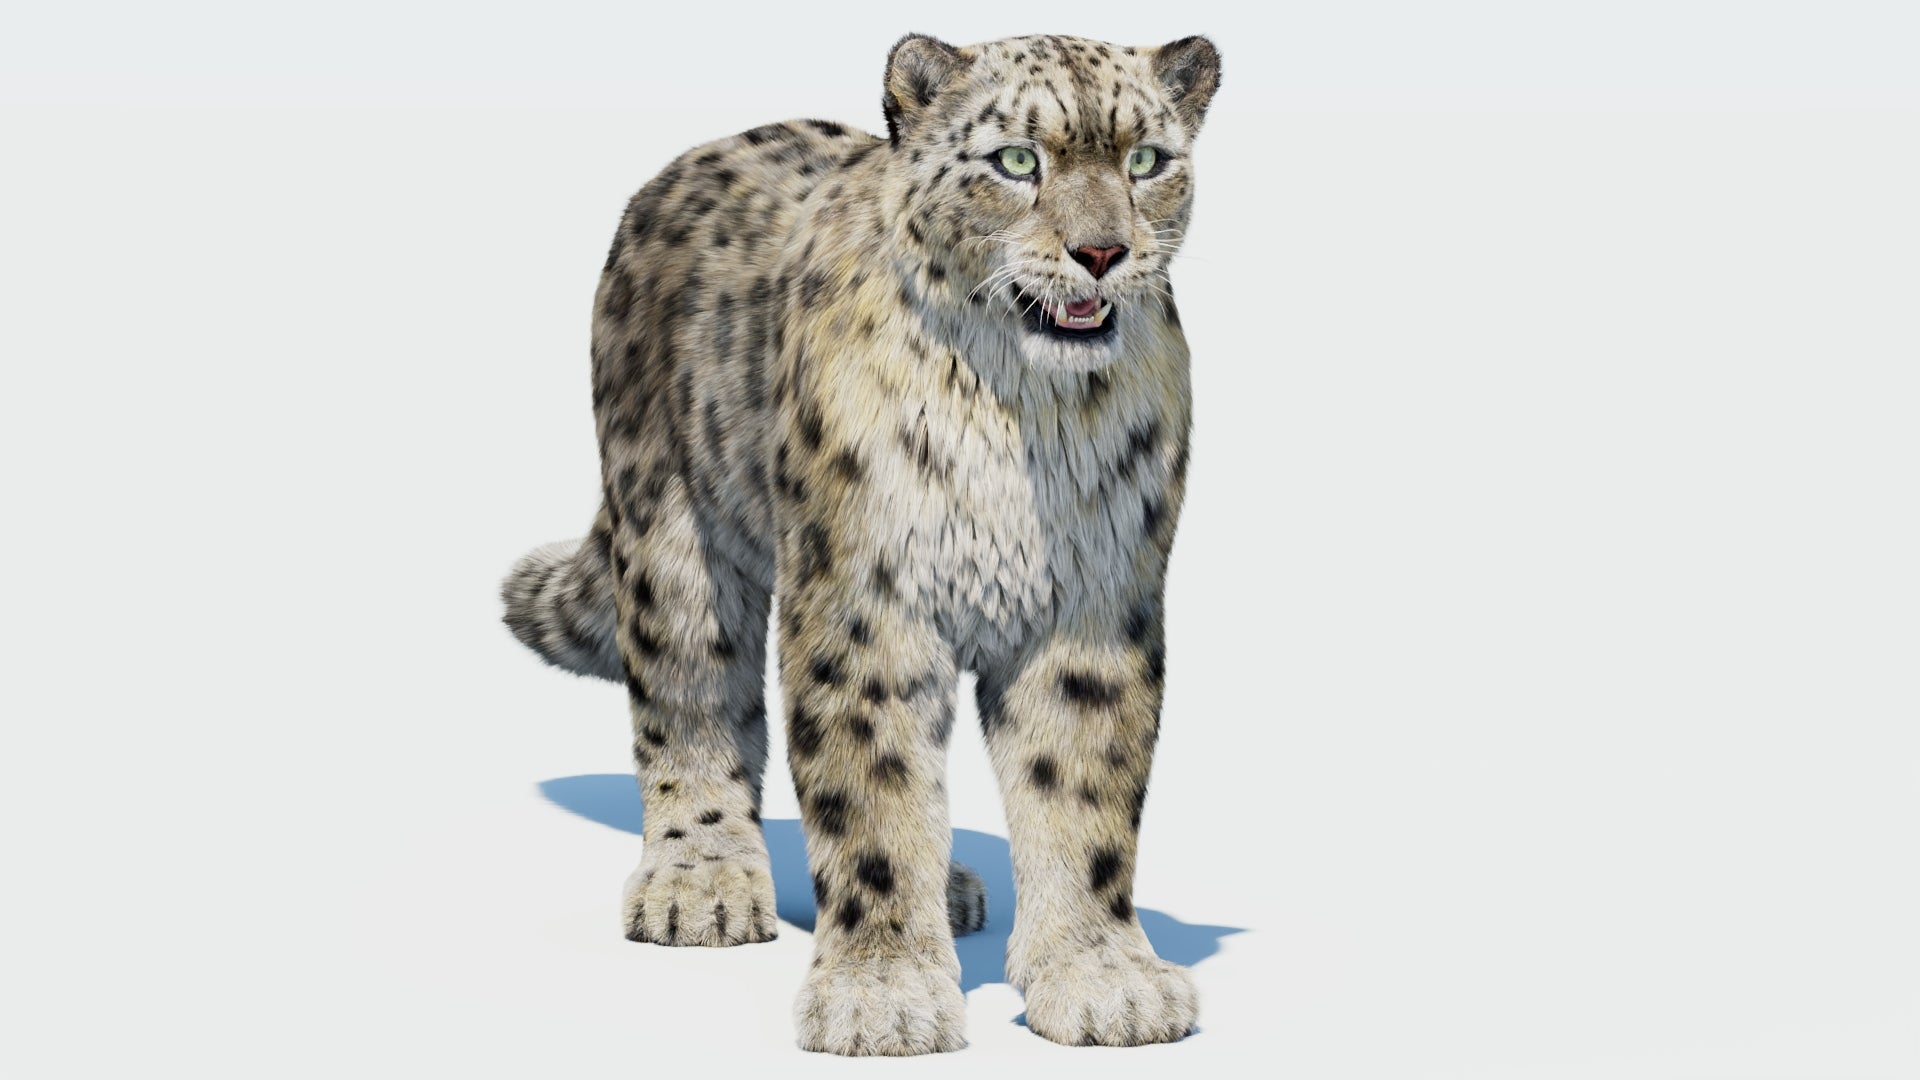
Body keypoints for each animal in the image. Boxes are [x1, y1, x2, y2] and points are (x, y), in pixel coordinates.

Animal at [502, 31, 1221, 1055]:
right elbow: (870, 791)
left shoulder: (1095, 603)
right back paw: (702, 882)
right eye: (1016, 161)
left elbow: (1083, 794)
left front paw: (1101, 978)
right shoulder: (865, 601)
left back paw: (951, 887)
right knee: (689, 703)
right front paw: (883, 996)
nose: (1101, 252)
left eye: (1147, 160)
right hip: (672, 537)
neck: (1020, 415)